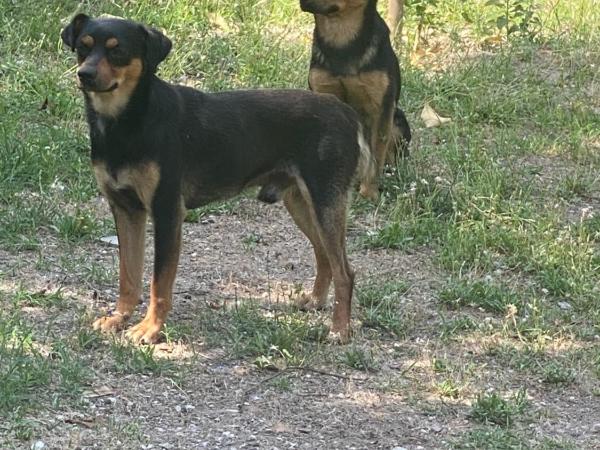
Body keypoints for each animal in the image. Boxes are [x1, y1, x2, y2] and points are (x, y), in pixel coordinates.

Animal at [61, 14, 370, 344]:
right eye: (83, 47)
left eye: (117, 50)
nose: (85, 74)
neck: (127, 122)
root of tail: (347, 113)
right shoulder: (125, 209)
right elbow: (128, 275)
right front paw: (119, 318)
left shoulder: (167, 212)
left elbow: (159, 283)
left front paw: (150, 328)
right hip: (301, 203)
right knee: (324, 256)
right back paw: (315, 302)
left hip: (325, 203)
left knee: (345, 271)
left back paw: (339, 330)